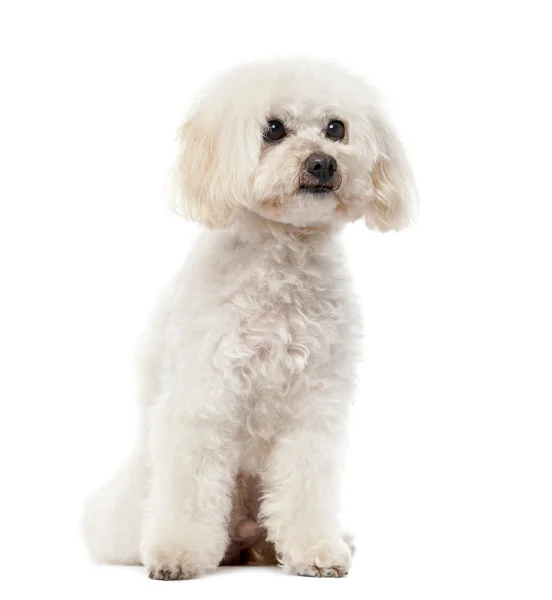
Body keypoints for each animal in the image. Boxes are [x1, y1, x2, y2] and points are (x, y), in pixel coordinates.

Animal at [83, 58, 418, 580]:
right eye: (273, 128)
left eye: (336, 128)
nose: (322, 163)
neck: (282, 266)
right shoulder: (202, 400)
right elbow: (190, 488)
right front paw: (177, 553)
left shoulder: (313, 409)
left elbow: (306, 485)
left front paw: (315, 550)